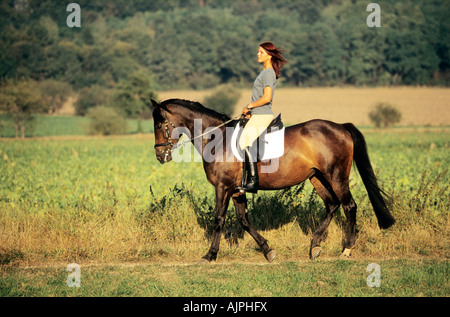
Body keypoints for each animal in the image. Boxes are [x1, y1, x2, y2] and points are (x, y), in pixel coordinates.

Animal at [151, 98, 394, 262]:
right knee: (332, 205)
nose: (160, 156)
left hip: (336, 176)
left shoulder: (223, 187)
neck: (217, 139)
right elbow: (244, 220)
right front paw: (268, 250)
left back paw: (347, 249)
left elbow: (219, 219)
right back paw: (315, 245)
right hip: (318, 178)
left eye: (159, 123)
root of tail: (341, 127)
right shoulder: (237, 190)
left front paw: (210, 255)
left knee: (349, 206)